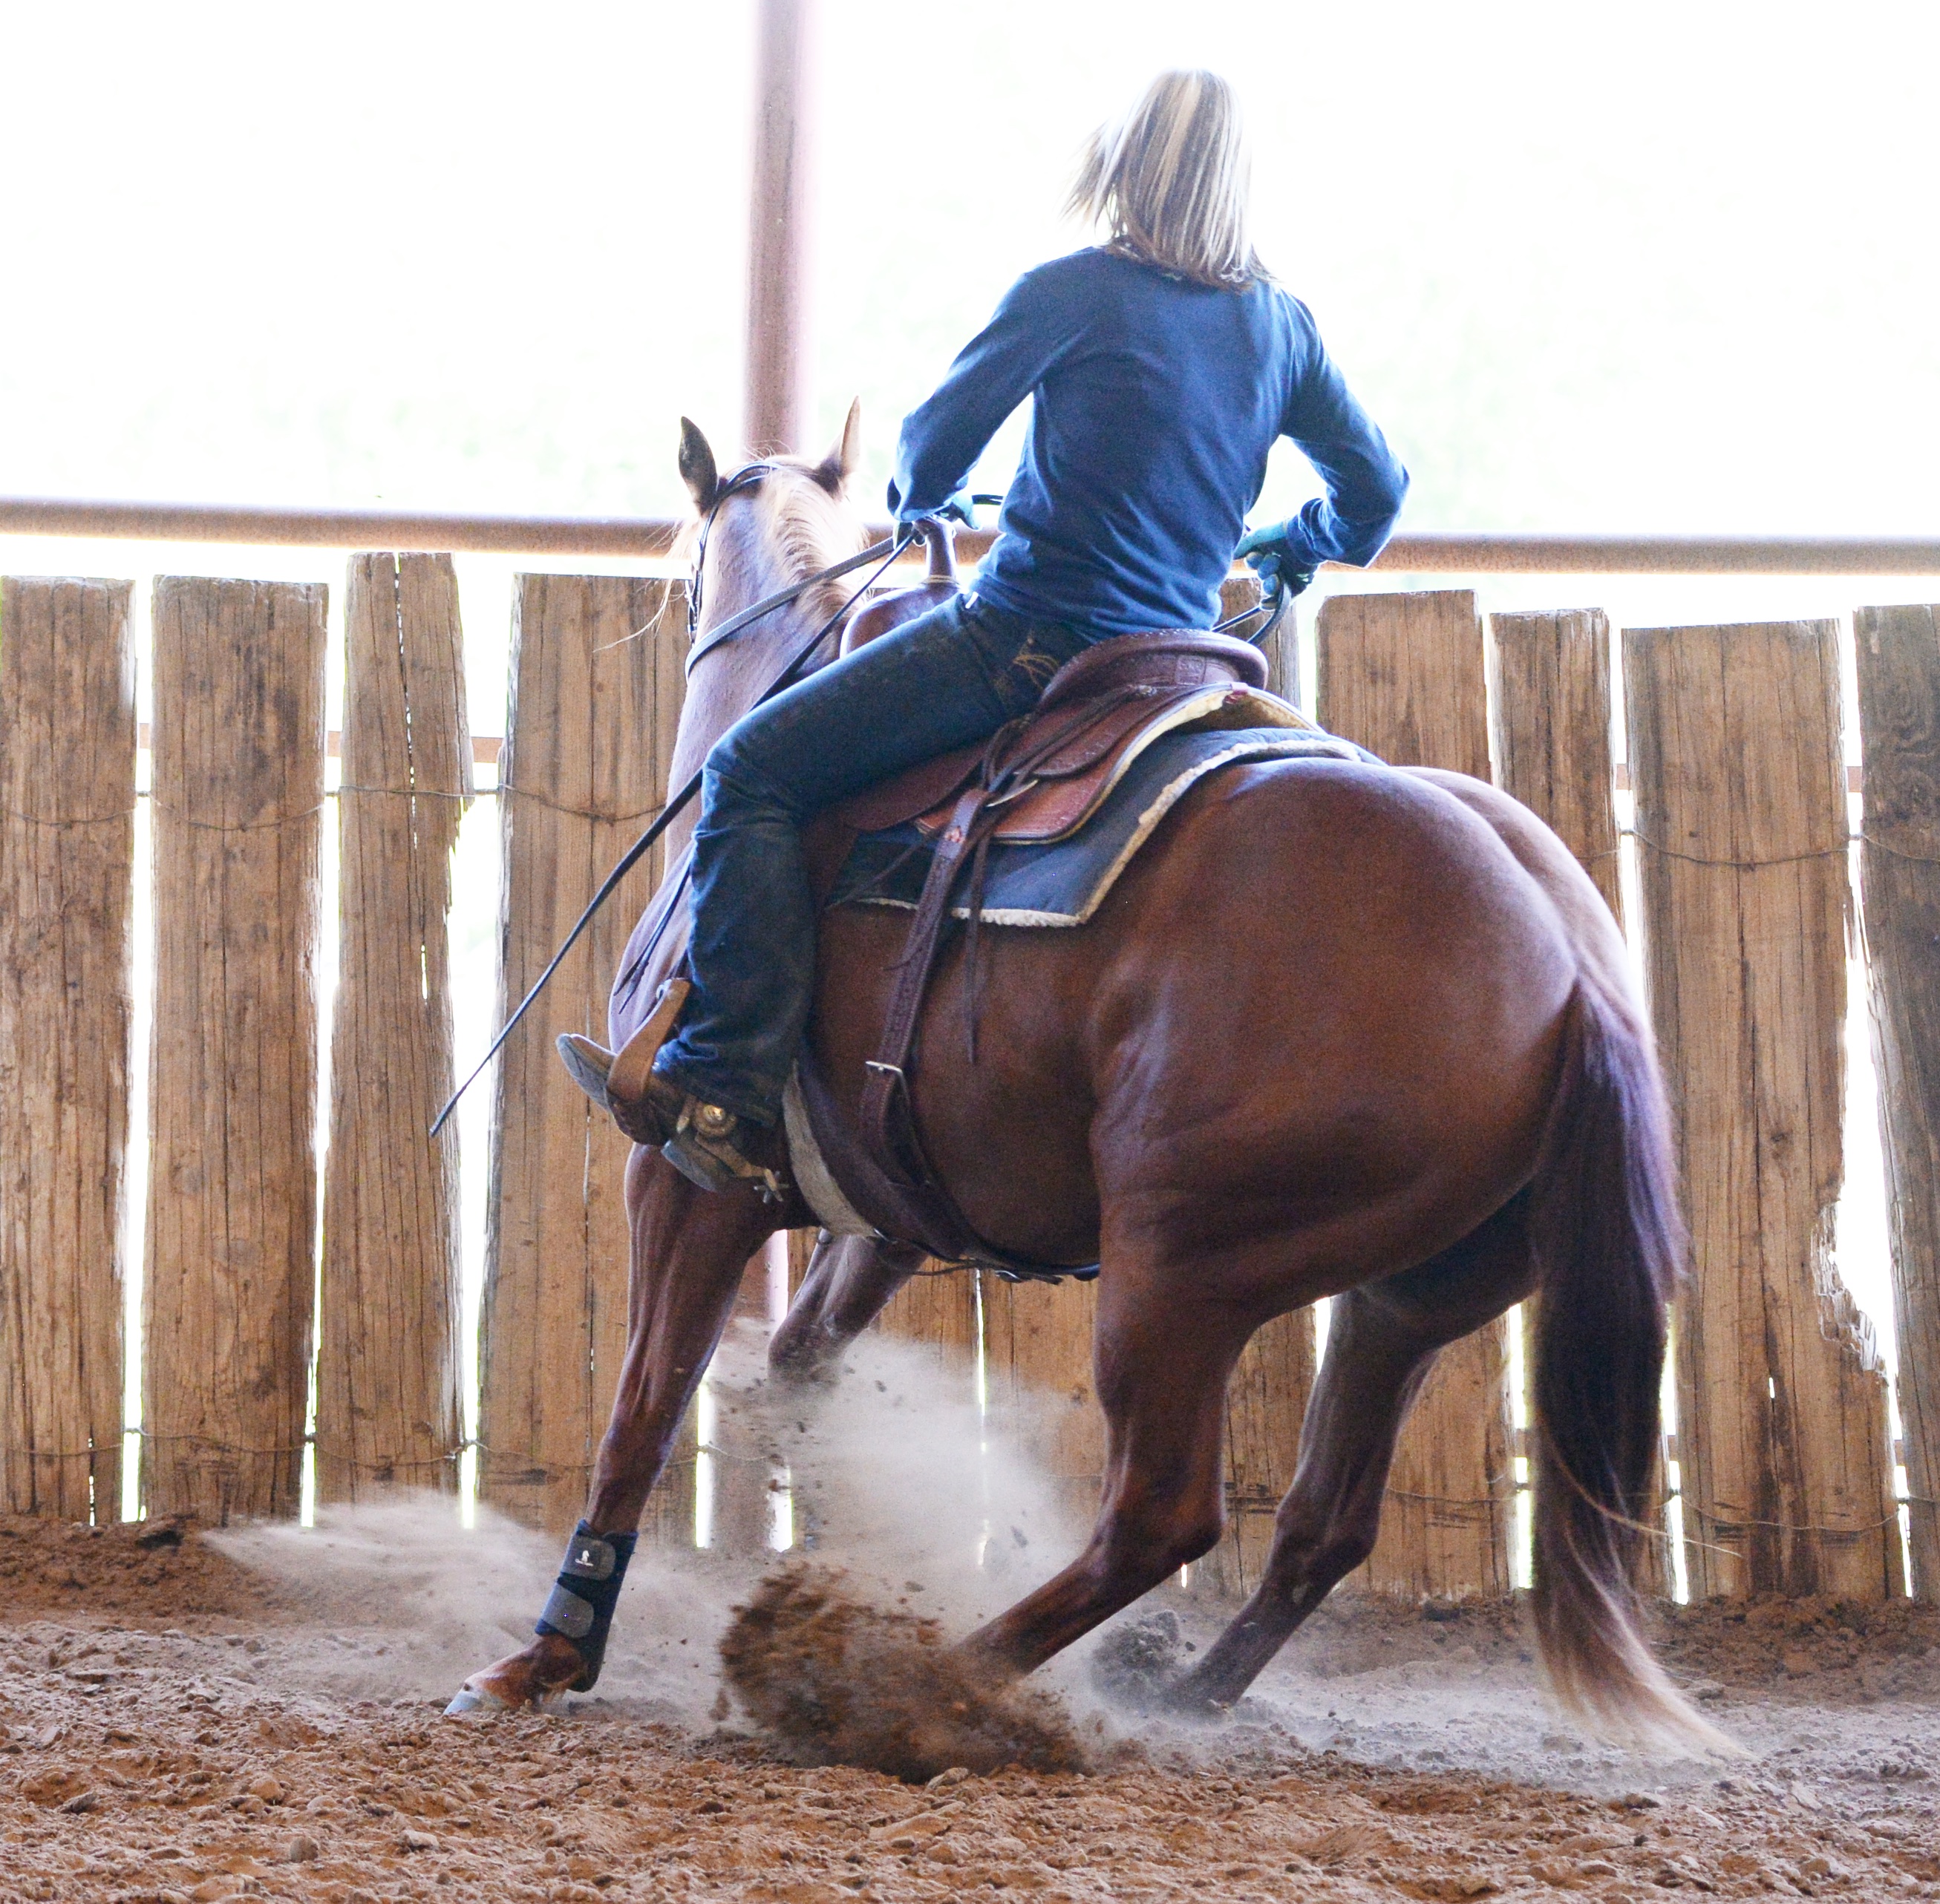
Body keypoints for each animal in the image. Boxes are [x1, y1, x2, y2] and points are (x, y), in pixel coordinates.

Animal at [453, 404, 1712, 1750]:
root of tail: (1572, 974)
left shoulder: (689, 1175)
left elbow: (642, 1407)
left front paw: (545, 1656)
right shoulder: (886, 1210)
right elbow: (798, 1364)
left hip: (1178, 1268)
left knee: (1159, 1516)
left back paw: (915, 1688)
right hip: (1412, 1298)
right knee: (1321, 1523)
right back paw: (1174, 1691)